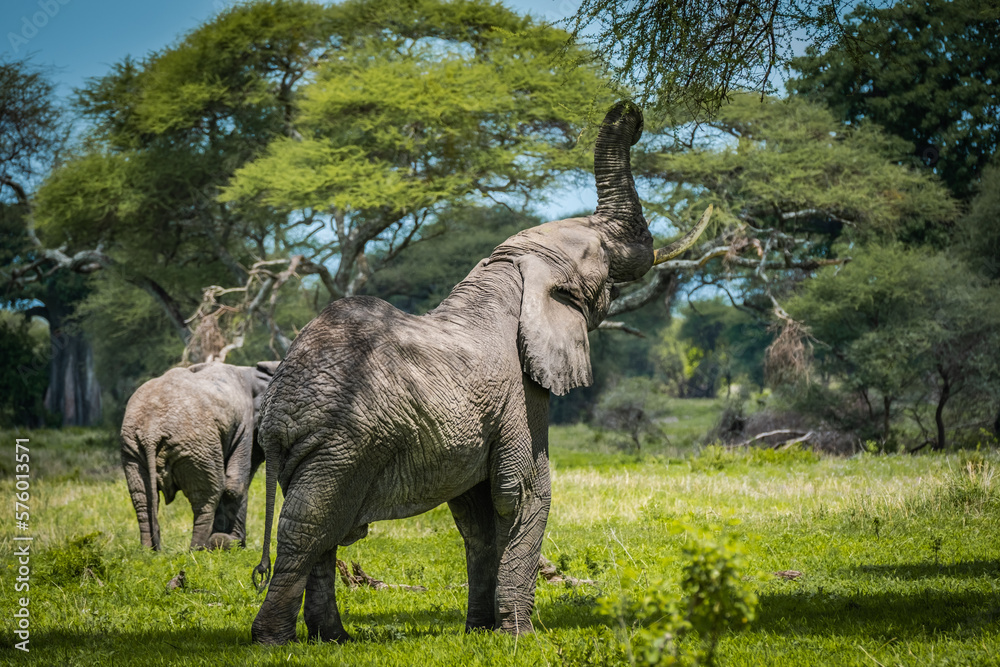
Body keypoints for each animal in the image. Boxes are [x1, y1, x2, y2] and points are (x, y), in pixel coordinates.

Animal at [120, 360, 280, 551]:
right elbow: (235, 485)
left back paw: (149, 551)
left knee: (142, 498)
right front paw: (231, 543)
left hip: (132, 449)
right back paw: (199, 549)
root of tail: (151, 431)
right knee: (208, 495)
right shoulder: (245, 423)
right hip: (198, 447)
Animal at [249, 101, 711, 644]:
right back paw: (273, 642)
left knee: (322, 533)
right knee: (309, 528)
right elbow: (524, 493)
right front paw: (520, 638)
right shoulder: (523, 394)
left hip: (321, 450)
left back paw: (334, 639)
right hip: (342, 444)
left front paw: (480, 632)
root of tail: (275, 415)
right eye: (601, 251)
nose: (631, 114)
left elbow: (476, 516)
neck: (507, 272)